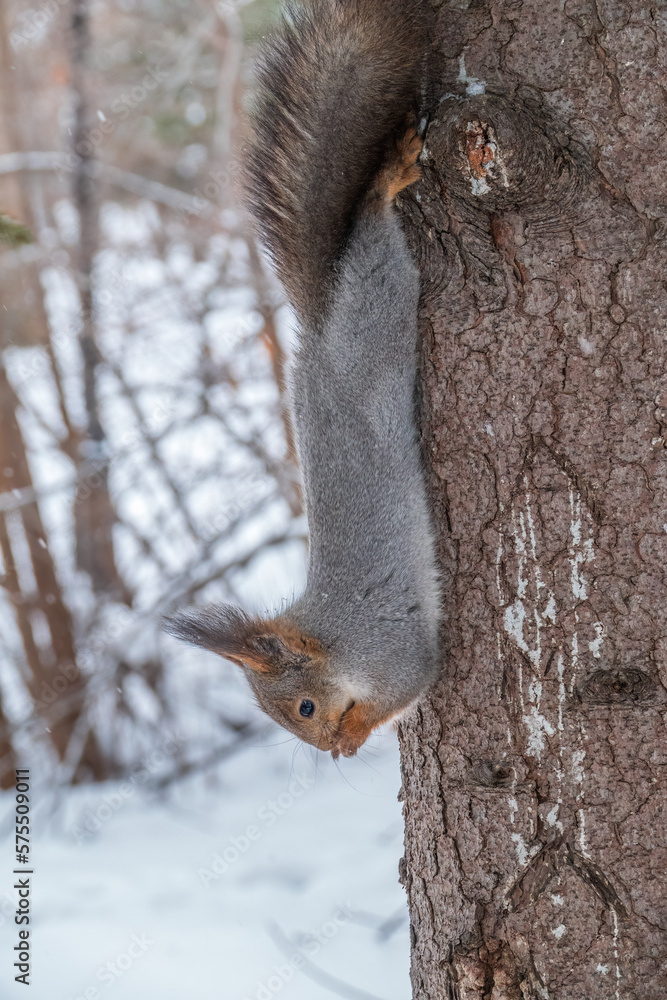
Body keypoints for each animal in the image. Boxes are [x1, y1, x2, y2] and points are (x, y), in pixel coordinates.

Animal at [165, 0, 441, 759]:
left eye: (306, 708)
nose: (328, 754)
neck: (336, 643)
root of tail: (316, 330)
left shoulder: (396, 650)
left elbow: (411, 683)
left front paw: (359, 729)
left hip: (377, 314)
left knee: (373, 235)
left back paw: (386, 181)